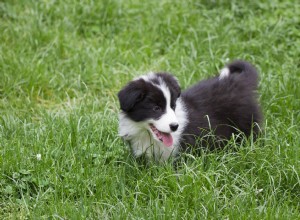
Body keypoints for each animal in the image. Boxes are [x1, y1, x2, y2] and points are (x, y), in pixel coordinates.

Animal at [118, 60, 262, 162]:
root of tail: (238, 82)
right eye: (156, 108)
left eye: (173, 106)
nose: (175, 126)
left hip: (246, 124)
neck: (148, 136)